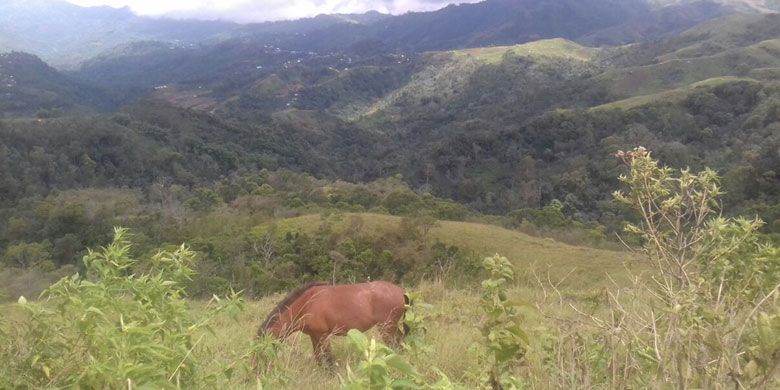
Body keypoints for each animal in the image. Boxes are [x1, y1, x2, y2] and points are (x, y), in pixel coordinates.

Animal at [258, 280, 412, 366]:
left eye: (261, 352)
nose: (258, 369)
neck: (307, 304)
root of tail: (401, 290)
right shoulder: (314, 336)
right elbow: (319, 359)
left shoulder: (323, 336)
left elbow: (328, 359)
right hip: (391, 327)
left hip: (387, 327)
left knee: (395, 346)